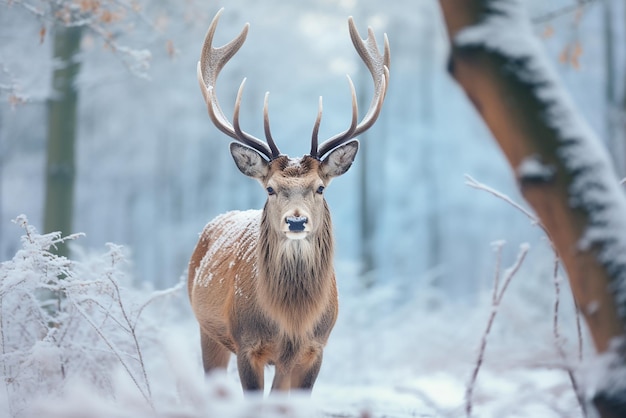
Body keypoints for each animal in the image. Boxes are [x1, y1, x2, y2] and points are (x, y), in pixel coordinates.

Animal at [188, 9, 388, 396]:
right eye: (270, 188)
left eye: (320, 187)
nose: (296, 221)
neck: (291, 320)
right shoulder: (247, 344)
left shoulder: (313, 349)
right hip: (207, 331)